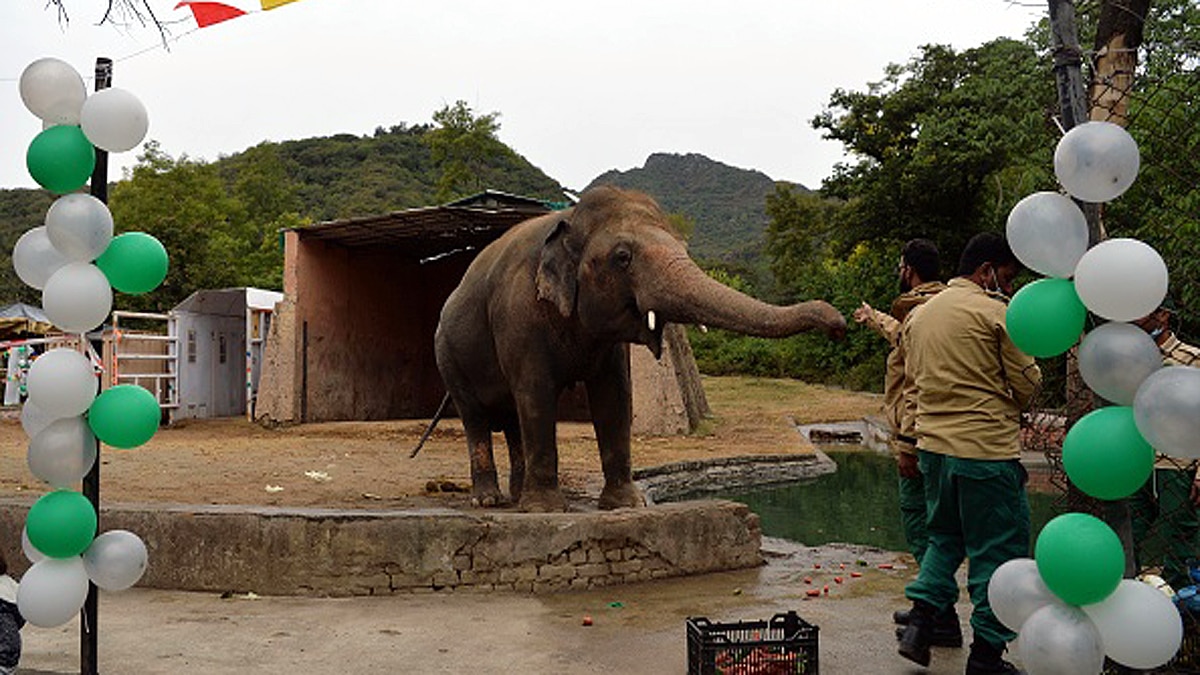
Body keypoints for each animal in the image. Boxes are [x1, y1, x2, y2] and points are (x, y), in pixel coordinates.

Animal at [434, 186, 846, 512]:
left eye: (684, 247)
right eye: (622, 257)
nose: (838, 325)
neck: (568, 218)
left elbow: (616, 396)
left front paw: (624, 506)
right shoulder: (518, 316)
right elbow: (536, 394)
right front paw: (546, 511)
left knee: (510, 419)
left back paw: (516, 497)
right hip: (447, 357)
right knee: (477, 417)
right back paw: (489, 500)